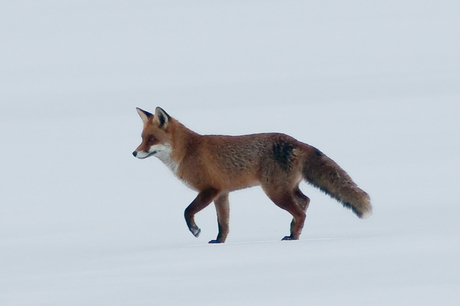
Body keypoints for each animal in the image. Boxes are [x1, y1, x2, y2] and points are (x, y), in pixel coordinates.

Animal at [132, 106, 370, 243]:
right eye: (142, 138)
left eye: (151, 139)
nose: (134, 153)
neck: (187, 151)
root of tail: (297, 141)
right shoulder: (222, 194)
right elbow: (223, 223)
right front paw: (219, 242)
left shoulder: (209, 190)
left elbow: (187, 211)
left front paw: (196, 231)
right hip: (286, 188)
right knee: (305, 201)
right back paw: (293, 230)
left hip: (275, 192)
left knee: (301, 212)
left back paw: (293, 237)